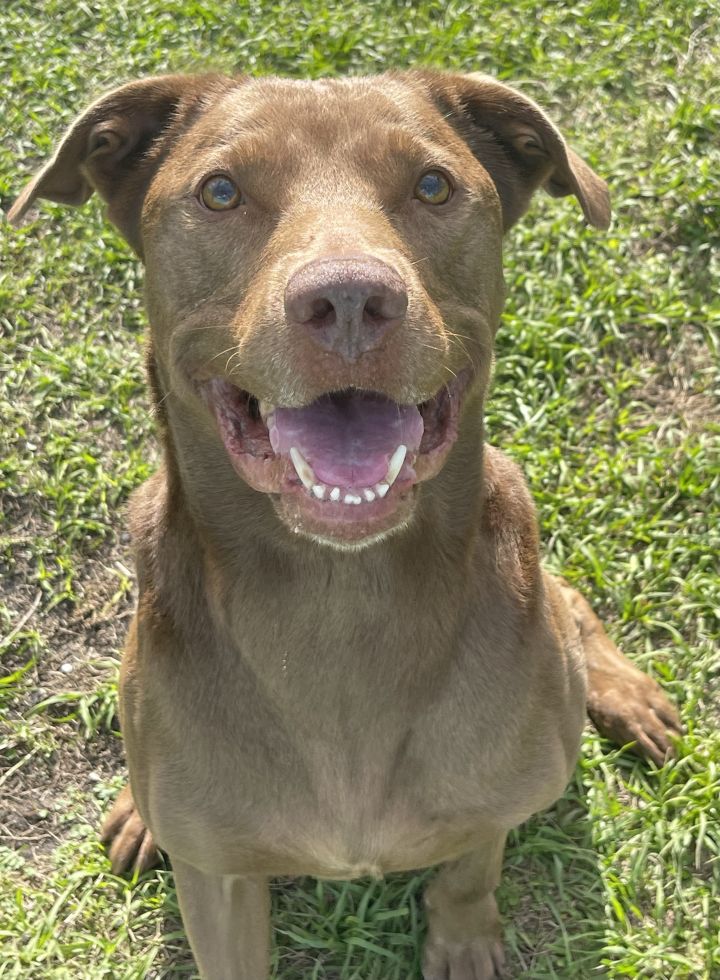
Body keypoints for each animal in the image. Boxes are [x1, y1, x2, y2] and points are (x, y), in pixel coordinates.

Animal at [14, 71, 684, 980]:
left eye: (433, 185)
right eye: (219, 192)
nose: (350, 301)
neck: (339, 600)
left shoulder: (492, 800)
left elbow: (469, 868)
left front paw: (462, 940)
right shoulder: (218, 880)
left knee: (570, 601)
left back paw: (628, 695)